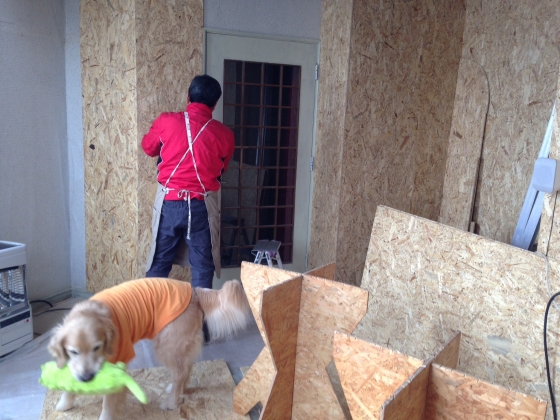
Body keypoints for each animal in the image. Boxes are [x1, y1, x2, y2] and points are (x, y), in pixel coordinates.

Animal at [48, 278, 251, 420]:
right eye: (73, 351)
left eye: (97, 347)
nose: (87, 378)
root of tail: (194, 290)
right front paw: (65, 403)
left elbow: (109, 401)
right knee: (186, 368)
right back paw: (178, 390)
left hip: (167, 345)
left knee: (181, 372)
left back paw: (172, 402)